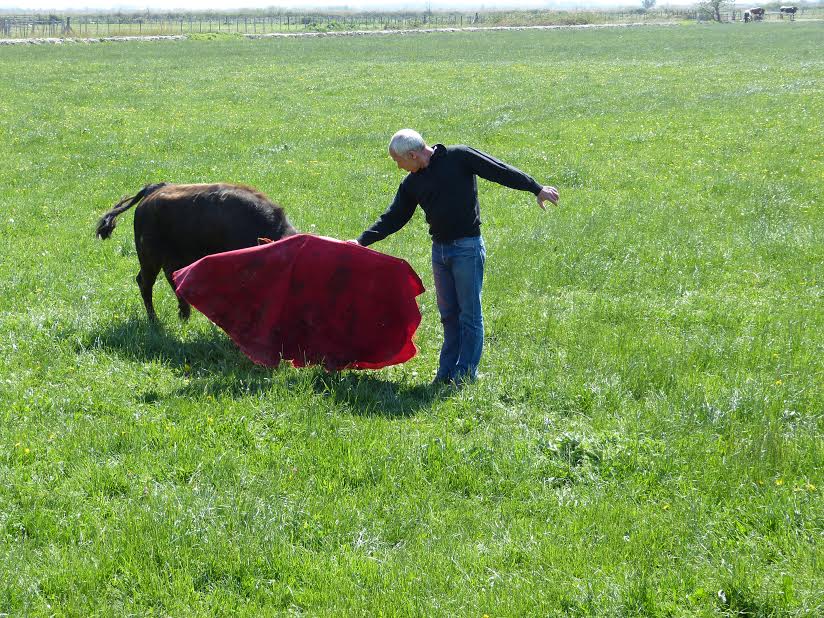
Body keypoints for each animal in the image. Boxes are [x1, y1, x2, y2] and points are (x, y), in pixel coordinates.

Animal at [97, 180, 296, 320]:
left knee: (171, 277)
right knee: (145, 283)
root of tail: (152, 189)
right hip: (150, 259)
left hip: (171, 258)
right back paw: (155, 321)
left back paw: (184, 313)